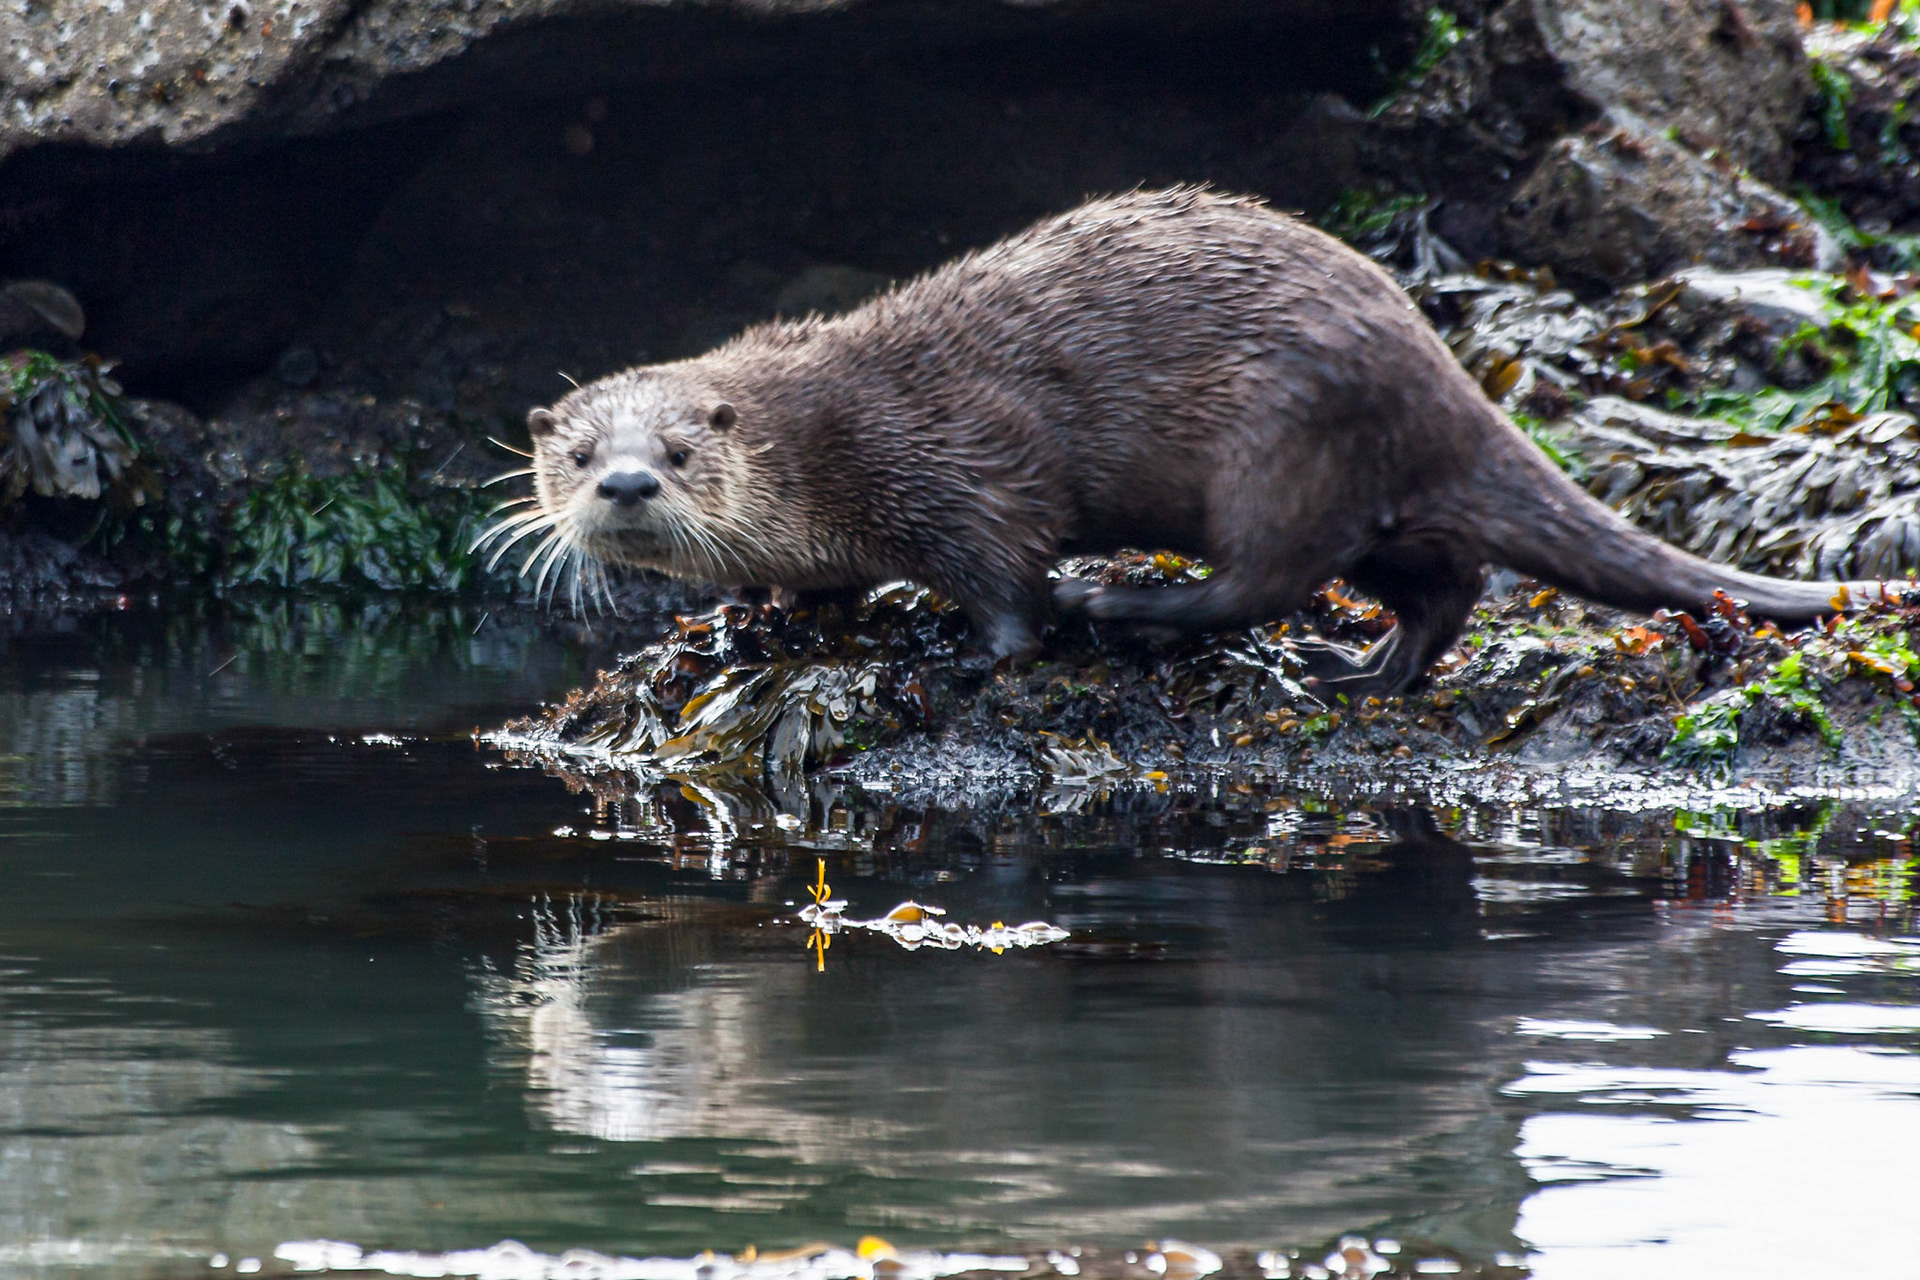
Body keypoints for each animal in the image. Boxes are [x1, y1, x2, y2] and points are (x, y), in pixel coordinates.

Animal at [488, 187, 1879, 694]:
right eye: (576, 454)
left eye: (678, 449)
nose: (624, 481)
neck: (819, 442)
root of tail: (1433, 361)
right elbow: (800, 594)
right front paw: (758, 622)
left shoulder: (950, 462)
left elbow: (1005, 570)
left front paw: (982, 653)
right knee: (1442, 579)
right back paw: (1372, 671)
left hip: (1277, 445)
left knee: (1268, 577)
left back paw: (1130, 610)